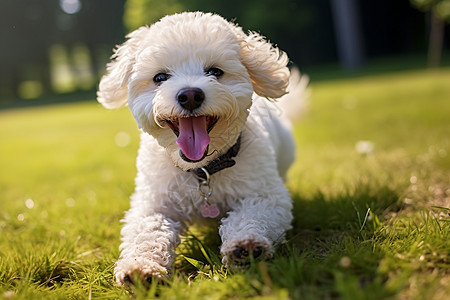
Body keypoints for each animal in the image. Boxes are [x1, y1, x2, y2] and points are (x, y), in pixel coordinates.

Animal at [96, 11, 308, 284]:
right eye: (160, 77)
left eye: (215, 71)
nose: (190, 95)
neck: (202, 170)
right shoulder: (153, 202)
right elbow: (148, 229)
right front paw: (140, 266)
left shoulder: (267, 195)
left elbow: (253, 214)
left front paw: (246, 244)